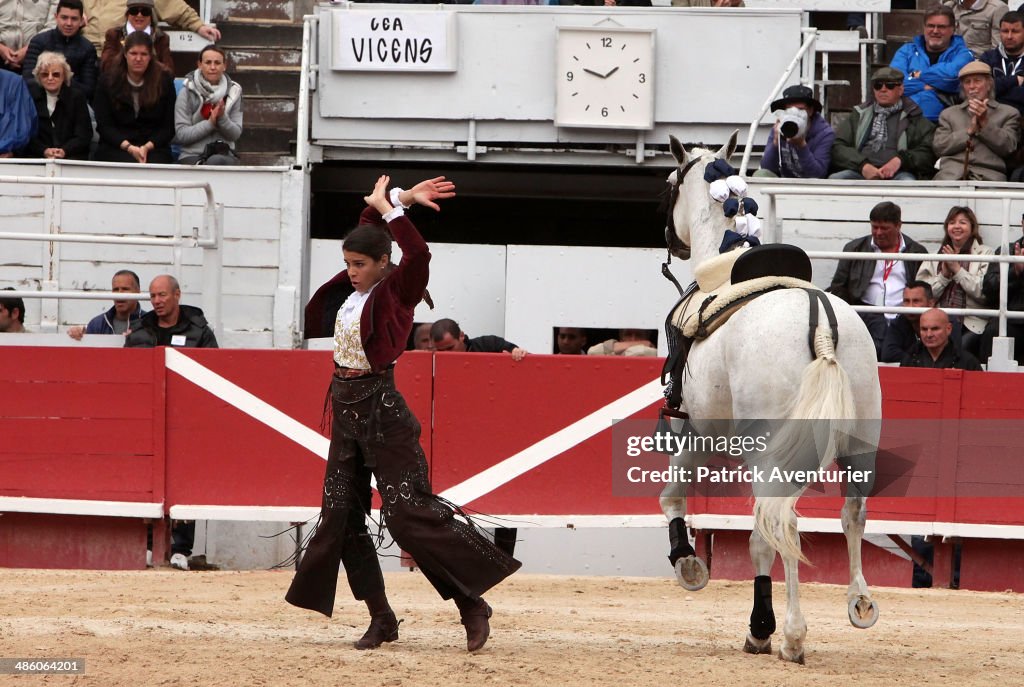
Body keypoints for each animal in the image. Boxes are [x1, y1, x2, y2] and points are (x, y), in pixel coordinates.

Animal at [663, 132, 880, 663]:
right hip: (862, 443)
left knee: (782, 524)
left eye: (670, 183)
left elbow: (673, 494)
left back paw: (788, 634)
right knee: (852, 514)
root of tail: (820, 322)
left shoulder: (698, 431)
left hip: (768, 453)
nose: (671, 238)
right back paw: (859, 603)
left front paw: (689, 564)